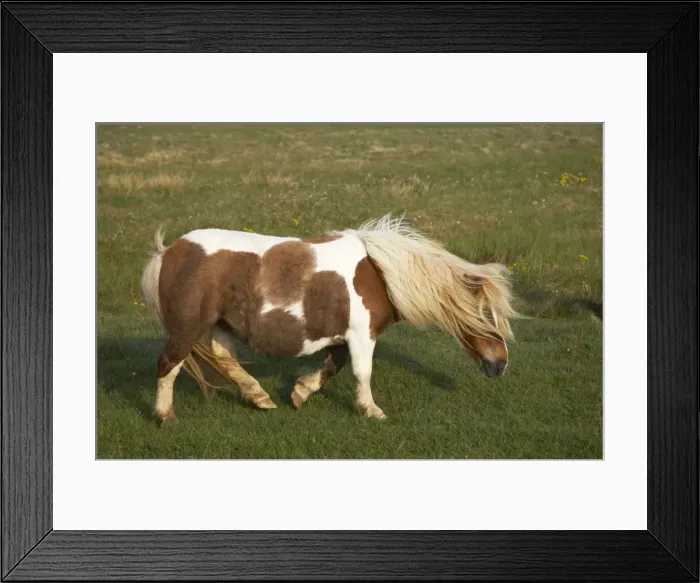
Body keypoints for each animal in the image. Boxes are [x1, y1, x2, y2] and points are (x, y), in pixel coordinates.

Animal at [140, 213, 518, 425]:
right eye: (487, 315)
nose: (501, 365)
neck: (379, 274)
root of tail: (171, 251)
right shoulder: (363, 335)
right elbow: (362, 372)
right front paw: (371, 410)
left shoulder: (343, 335)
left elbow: (332, 367)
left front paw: (300, 393)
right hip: (188, 328)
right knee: (167, 365)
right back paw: (165, 416)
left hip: (222, 325)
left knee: (224, 358)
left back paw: (260, 397)